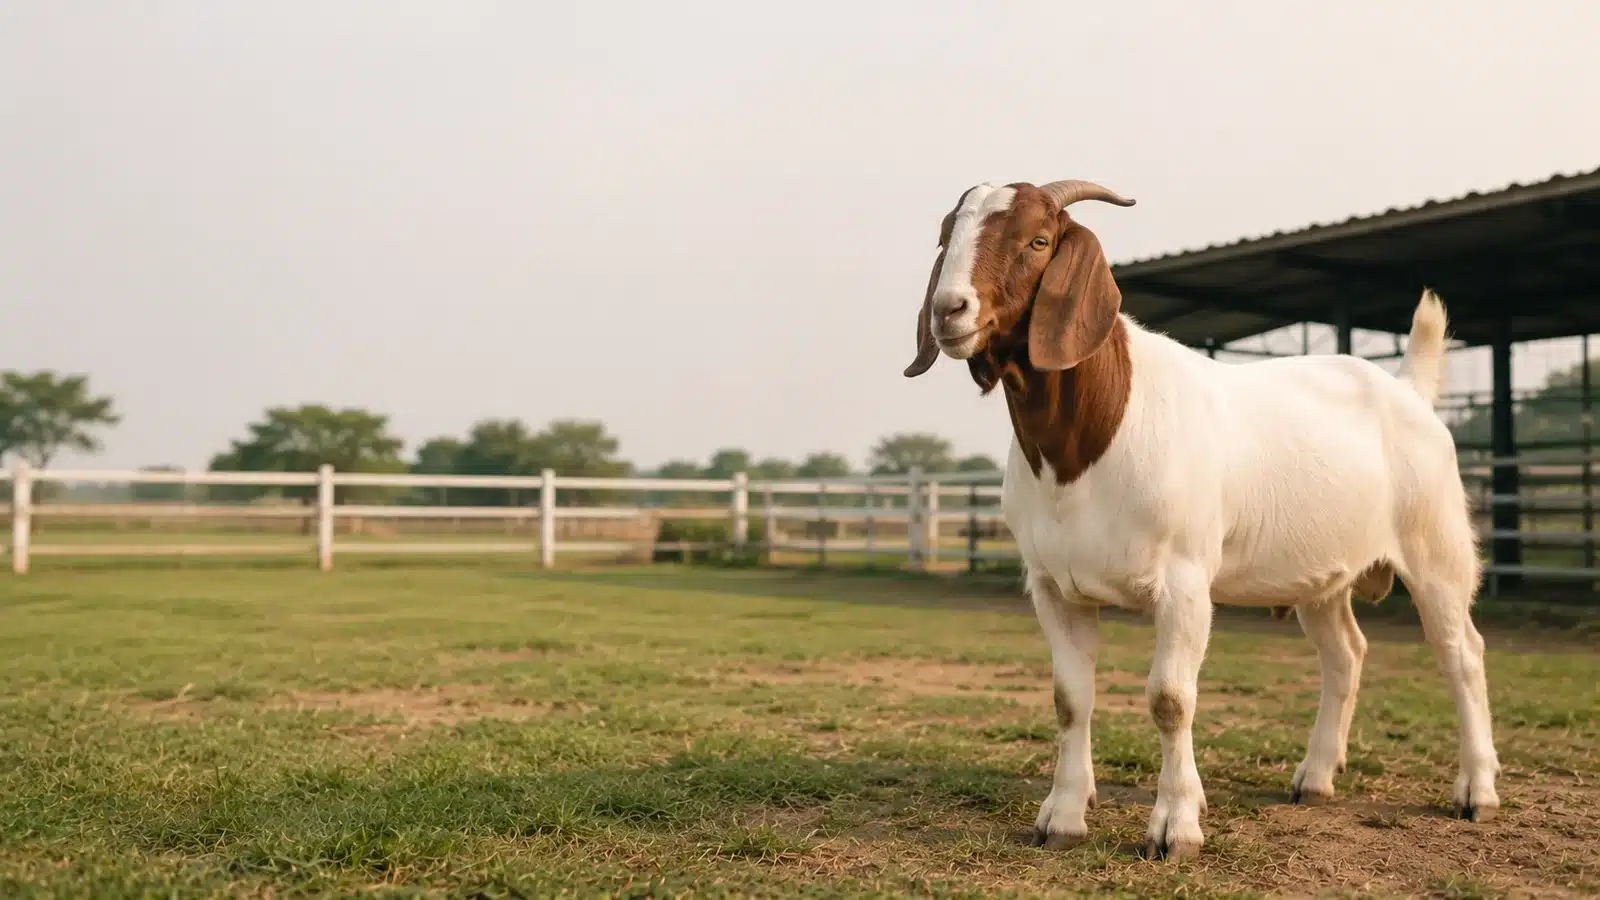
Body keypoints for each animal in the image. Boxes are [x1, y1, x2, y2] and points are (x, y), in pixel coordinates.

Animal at [903, 179, 1499, 860]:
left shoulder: (1184, 580)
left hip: (1437, 548)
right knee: (1345, 654)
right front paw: (1062, 816)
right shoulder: (1053, 585)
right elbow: (1069, 698)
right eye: (947, 236)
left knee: (1461, 651)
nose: (948, 310)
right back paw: (1315, 777)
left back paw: (1476, 790)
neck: (1086, 444)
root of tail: (1408, 391)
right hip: (1322, 574)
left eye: (1038, 240)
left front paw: (1176, 825)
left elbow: (1170, 698)